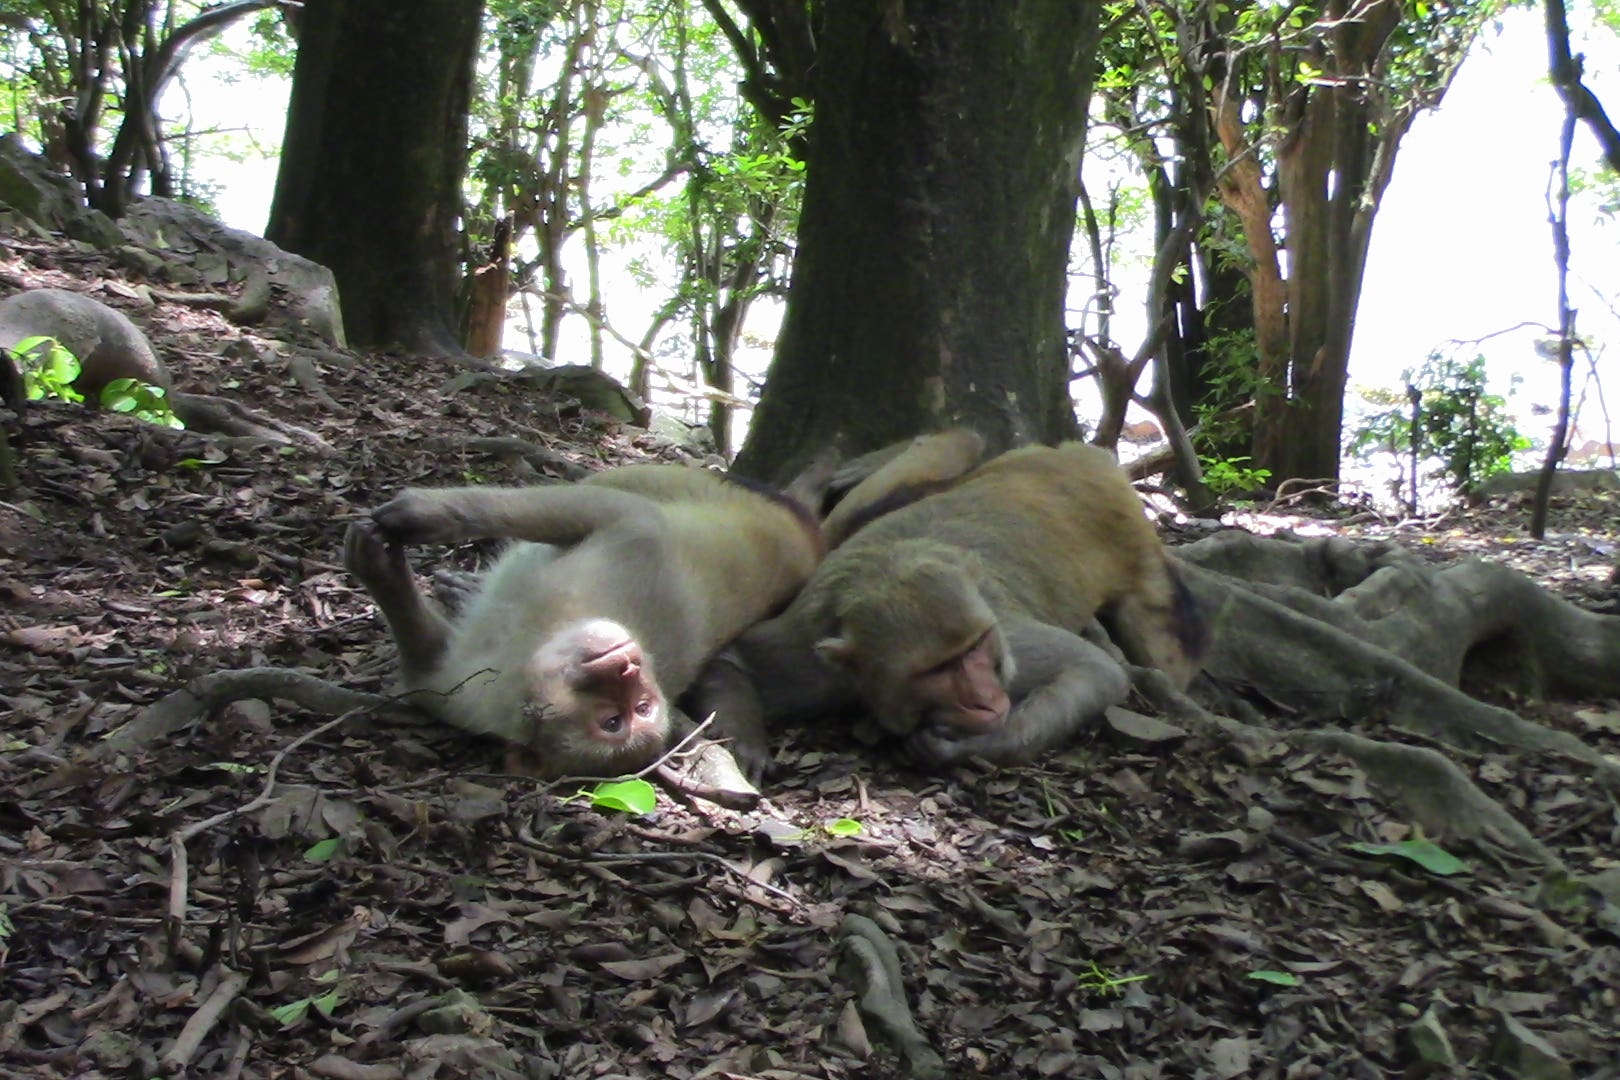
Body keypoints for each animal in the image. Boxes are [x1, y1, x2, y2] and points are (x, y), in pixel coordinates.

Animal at [690, 440, 1211, 777]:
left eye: (975, 648)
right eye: (937, 669)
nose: (984, 699)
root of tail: (1081, 460)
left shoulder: (1008, 640)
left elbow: (1096, 671)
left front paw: (973, 746)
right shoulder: (810, 654)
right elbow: (732, 660)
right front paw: (743, 739)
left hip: (1132, 538)